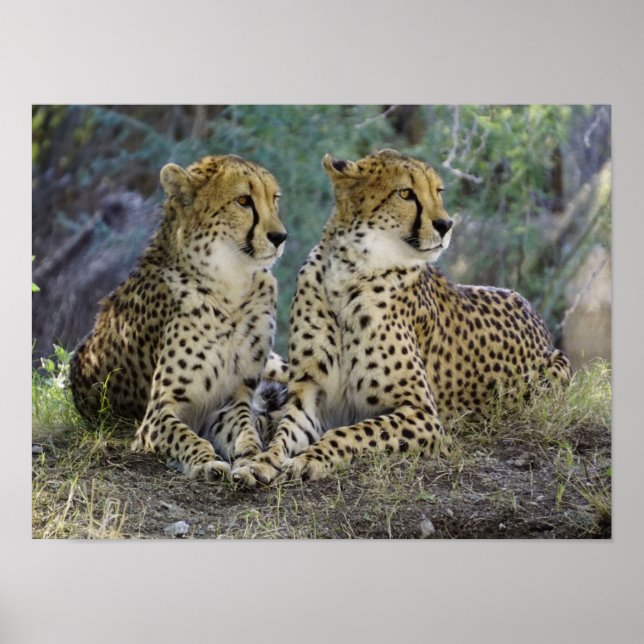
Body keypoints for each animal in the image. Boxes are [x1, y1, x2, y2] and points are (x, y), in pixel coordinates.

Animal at [69, 154, 289, 480]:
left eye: (274, 199)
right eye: (243, 200)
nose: (279, 236)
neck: (230, 286)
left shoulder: (230, 402)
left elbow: (245, 430)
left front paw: (251, 457)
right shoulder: (157, 414)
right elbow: (185, 436)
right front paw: (206, 461)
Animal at [232, 149, 572, 486]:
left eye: (438, 191)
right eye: (406, 193)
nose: (446, 224)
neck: (349, 272)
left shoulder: (423, 413)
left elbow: (349, 432)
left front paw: (311, 459)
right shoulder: (310, 395)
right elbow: (285, 434)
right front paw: (260, 462)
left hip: (554, 371)